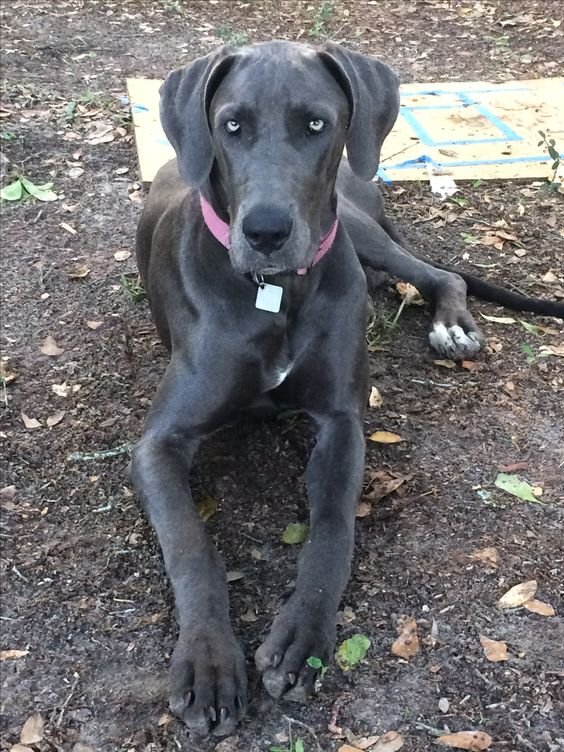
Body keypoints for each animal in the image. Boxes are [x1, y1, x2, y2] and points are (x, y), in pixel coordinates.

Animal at [133, 41, 564, 736]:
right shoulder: (159, 443)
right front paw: (207, 660)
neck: (275, 294)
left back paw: (452, 324)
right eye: (231, 125)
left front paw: (304, 635)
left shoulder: (342, 420)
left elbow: (334, 525)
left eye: (317, 124)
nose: (267, 232)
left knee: (438, 273)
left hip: (358, 229)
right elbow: (191, 545)